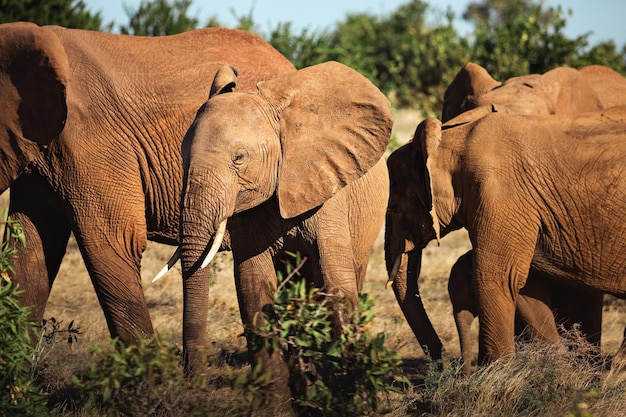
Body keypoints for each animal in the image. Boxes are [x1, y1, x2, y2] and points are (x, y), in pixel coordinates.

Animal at [166, 61, 390, 406]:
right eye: (181, 156)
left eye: (239, 158)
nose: (195, 384)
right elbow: (254, 285)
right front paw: (276, 404)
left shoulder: (326, 188)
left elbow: (335, 281)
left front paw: (354, 399)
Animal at [386, 105, 624, 366]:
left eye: (395, 208)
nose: (444, 361)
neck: (450, 140)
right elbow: (524, 281)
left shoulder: (499, 194)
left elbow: (496, 277)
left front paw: (498, 372)